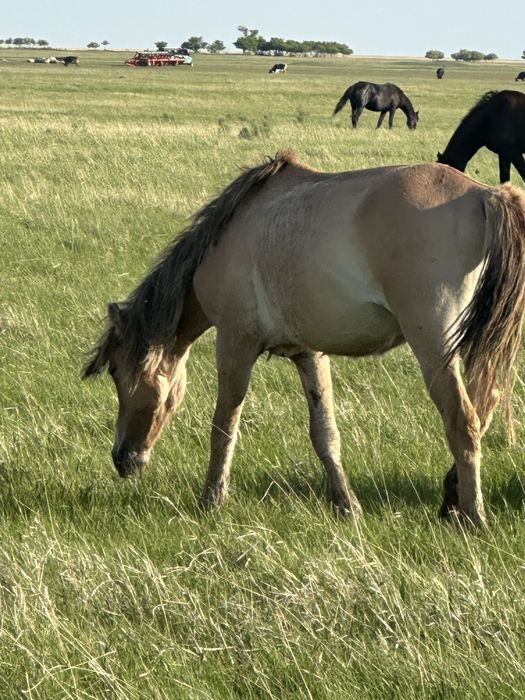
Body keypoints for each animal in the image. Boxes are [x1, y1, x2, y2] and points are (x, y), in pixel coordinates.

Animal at [83, 151, 525, 528]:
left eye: (118, 373)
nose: (122, 458)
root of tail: (485, 195)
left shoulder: (235, 344)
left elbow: (224, 427)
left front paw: (212, 499)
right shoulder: (309, 353)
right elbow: (325, 434)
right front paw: (346, 504)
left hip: (434, 350)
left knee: (463, 421)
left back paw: (470, 515)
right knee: (484, 408)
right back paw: (451, 498)